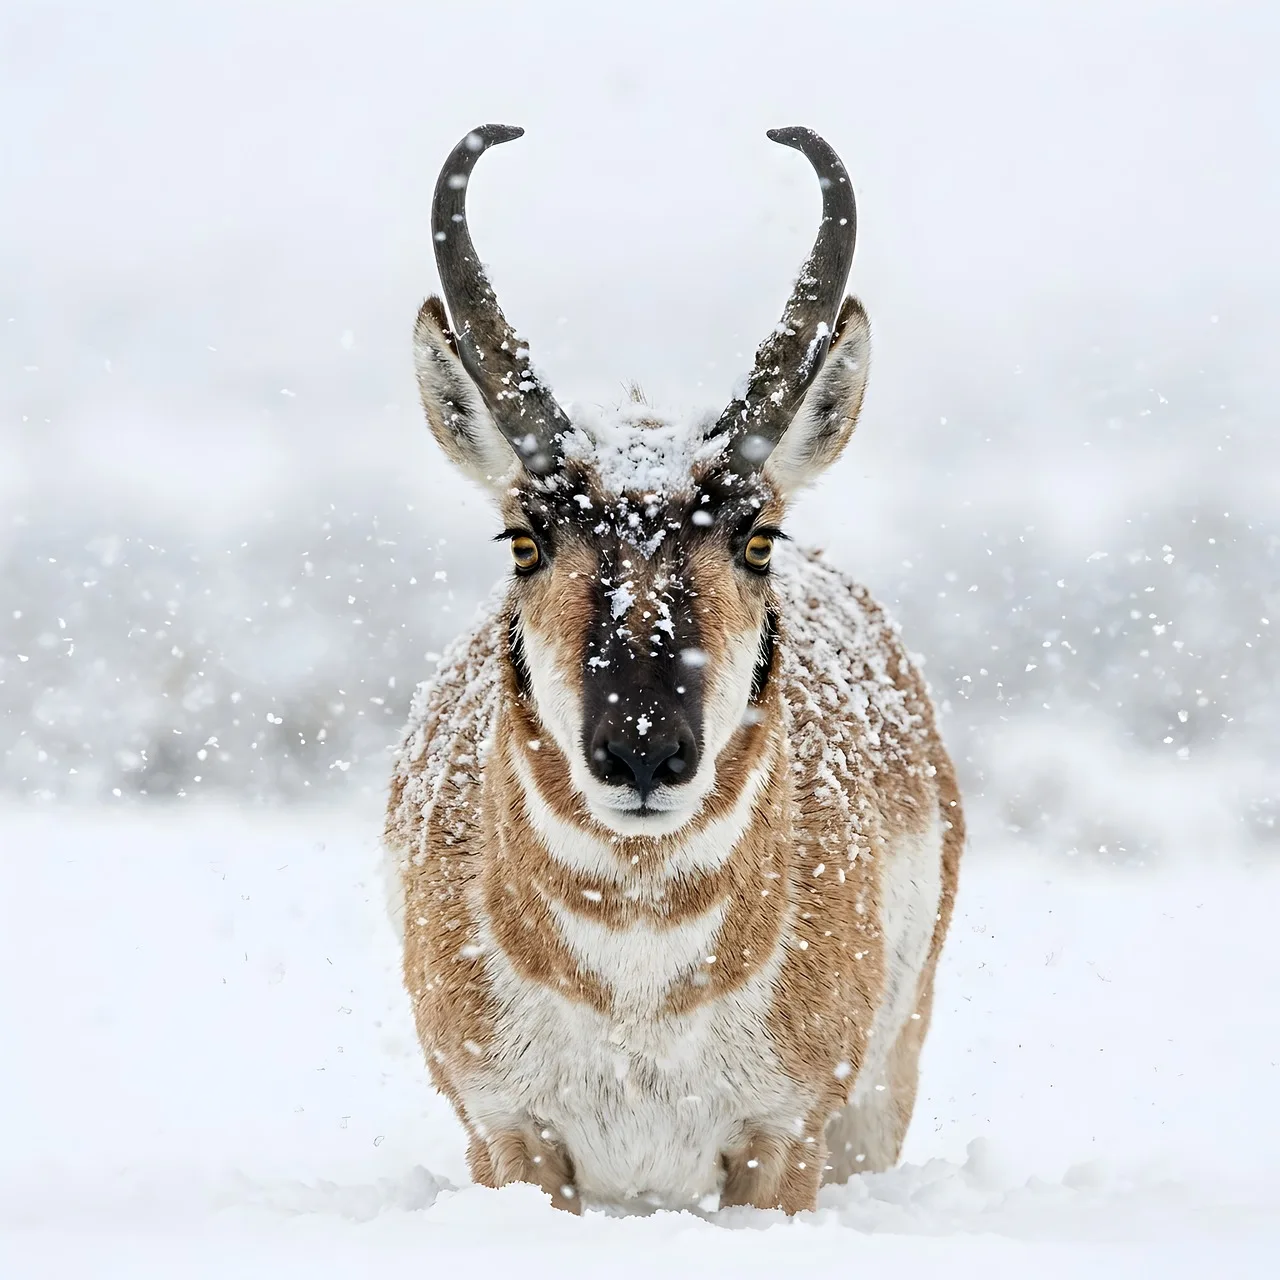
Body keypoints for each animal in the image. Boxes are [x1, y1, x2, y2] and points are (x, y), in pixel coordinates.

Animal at [385, 124, 964, 1215]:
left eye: (756, 535)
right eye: (525, 537)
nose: (644, 752)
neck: (636, 975)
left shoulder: (785, 1143)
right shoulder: (508, 1136)